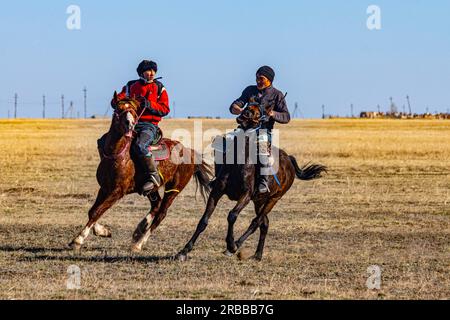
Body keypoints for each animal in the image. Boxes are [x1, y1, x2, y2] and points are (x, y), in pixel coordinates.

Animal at [69, 94, 213, 252]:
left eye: (133, 110)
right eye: (118, 109)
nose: (130, 124)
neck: (118, 155)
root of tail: (189, 151)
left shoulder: (117, 191)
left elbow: (97, 211)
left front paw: (78, 239)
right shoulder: (105, 188)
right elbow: (93, 211)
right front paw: (103, 231)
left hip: (174, 189)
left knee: (161, 213)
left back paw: (139, 242)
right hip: (151, 188)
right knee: (155, 206)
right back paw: (139, 229)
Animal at [176, 102, 326, 260]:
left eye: (258, 113)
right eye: (248, 106)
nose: (245, 114)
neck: (238, 163)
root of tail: (288, 160)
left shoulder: (246, 195)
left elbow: (232, 215)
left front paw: (231, 245)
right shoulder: (216, 192)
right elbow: (203, 221)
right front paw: (184, 251)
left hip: (273, 199)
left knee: (257, 221)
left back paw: (236, 245)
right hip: (259, 201)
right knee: (265, 223)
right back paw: (257, 254)